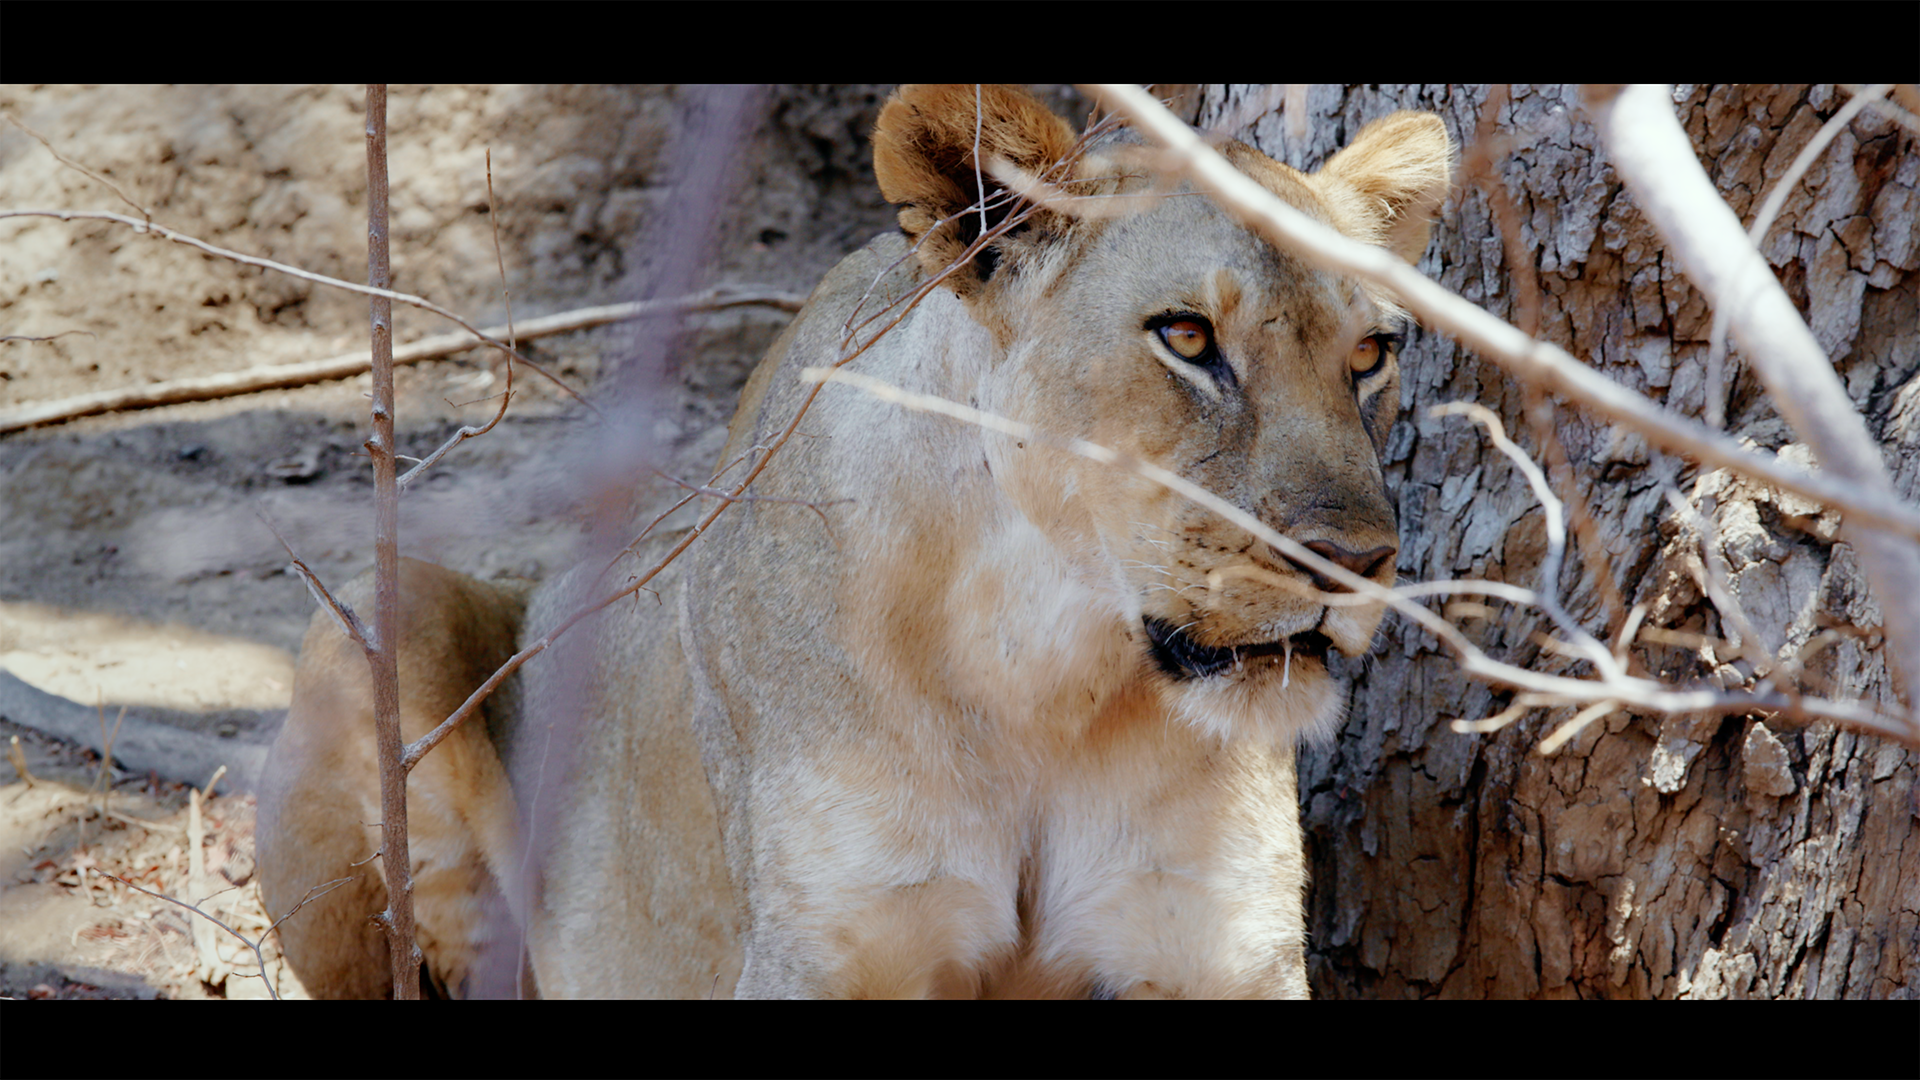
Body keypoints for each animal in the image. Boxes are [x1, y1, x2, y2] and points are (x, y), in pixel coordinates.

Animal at [257, 85, 1453, 999]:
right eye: (1189, 337)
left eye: (1370, 354)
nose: (1357, 563)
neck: (1048, 676)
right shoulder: (825, 951)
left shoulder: (1217, 947)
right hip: (384, 612)